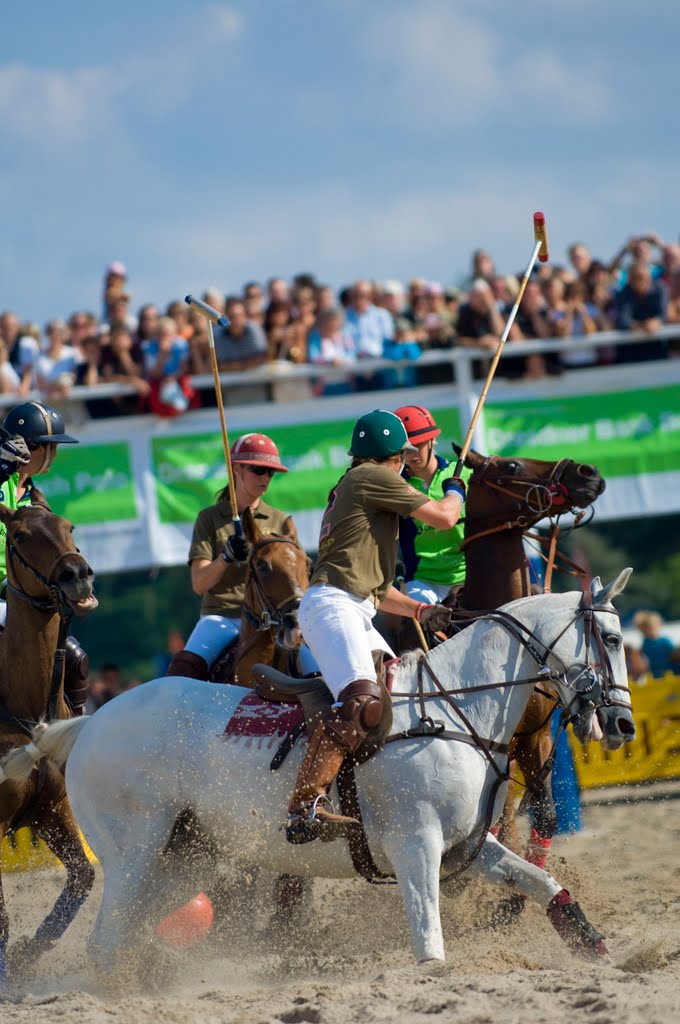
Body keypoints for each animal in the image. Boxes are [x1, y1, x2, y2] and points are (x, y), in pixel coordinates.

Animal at [2, 573, 634, 970]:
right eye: (610, 637)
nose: (623, 723)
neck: (458, 708)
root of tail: (90, 721)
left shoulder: (469, 846)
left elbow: (543, 884)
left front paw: (600, 949)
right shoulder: (416, 844)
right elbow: (430, 949)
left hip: (185, 857)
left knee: (124, 932)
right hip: (134, 848)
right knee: (105, 939)